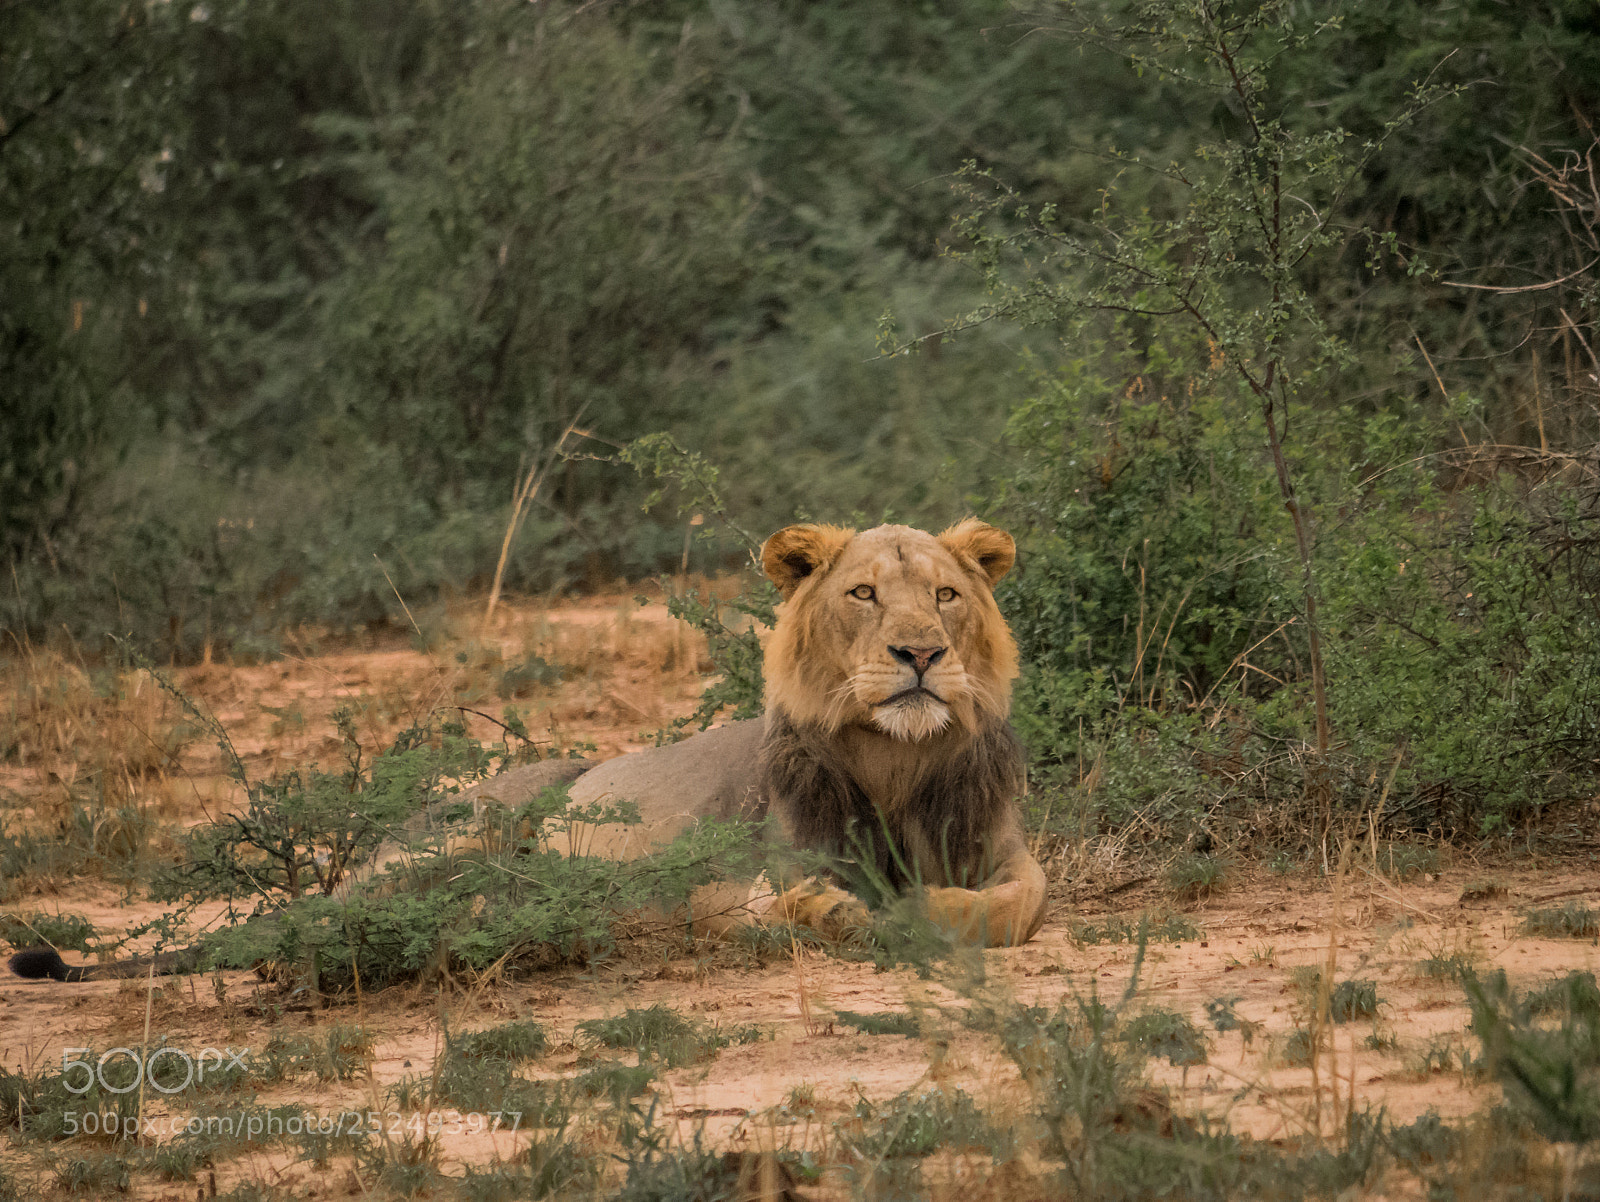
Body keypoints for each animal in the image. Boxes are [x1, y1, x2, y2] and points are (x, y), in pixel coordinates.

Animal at [8, 519, 1046, 983]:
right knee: (304, 921)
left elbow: (1016, 903)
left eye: (946, 596)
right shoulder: (768, 870)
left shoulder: (1006, 851)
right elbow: (825, 905)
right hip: (455, 839)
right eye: (864, 594)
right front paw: (866, 914)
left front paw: (932, 907)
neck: (897, 762)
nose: (921, 655)